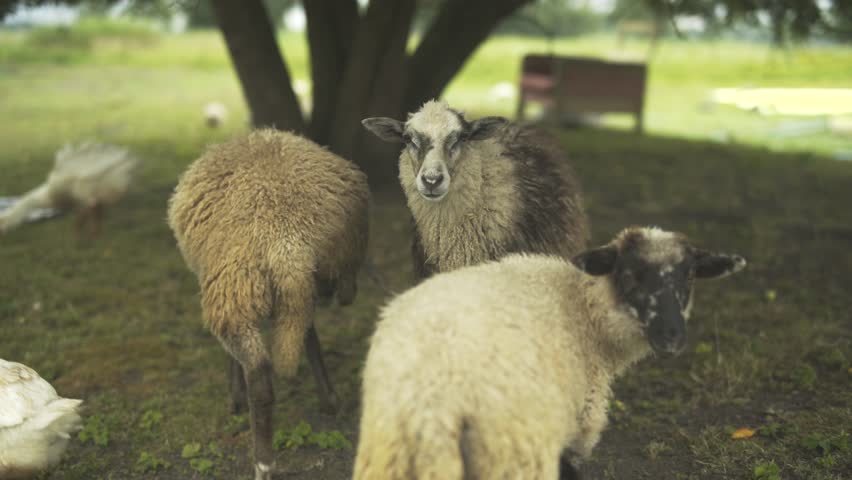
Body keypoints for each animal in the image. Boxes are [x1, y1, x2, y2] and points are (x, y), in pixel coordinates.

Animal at [167, 129, 369, 480]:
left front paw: (234, 399)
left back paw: (263, 461)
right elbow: (309, 337)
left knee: (259, 373)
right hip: (316, 278)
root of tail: (285, 239)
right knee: (306, 332)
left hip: (235, 295)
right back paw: (329, 401)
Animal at [353, 226, 746, 480]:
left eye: (689, 278)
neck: (587, 313)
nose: (672, 337)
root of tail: (434, 403)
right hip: (513, 455)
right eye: (629, 275)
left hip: (386, 450)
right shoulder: (575, 433)